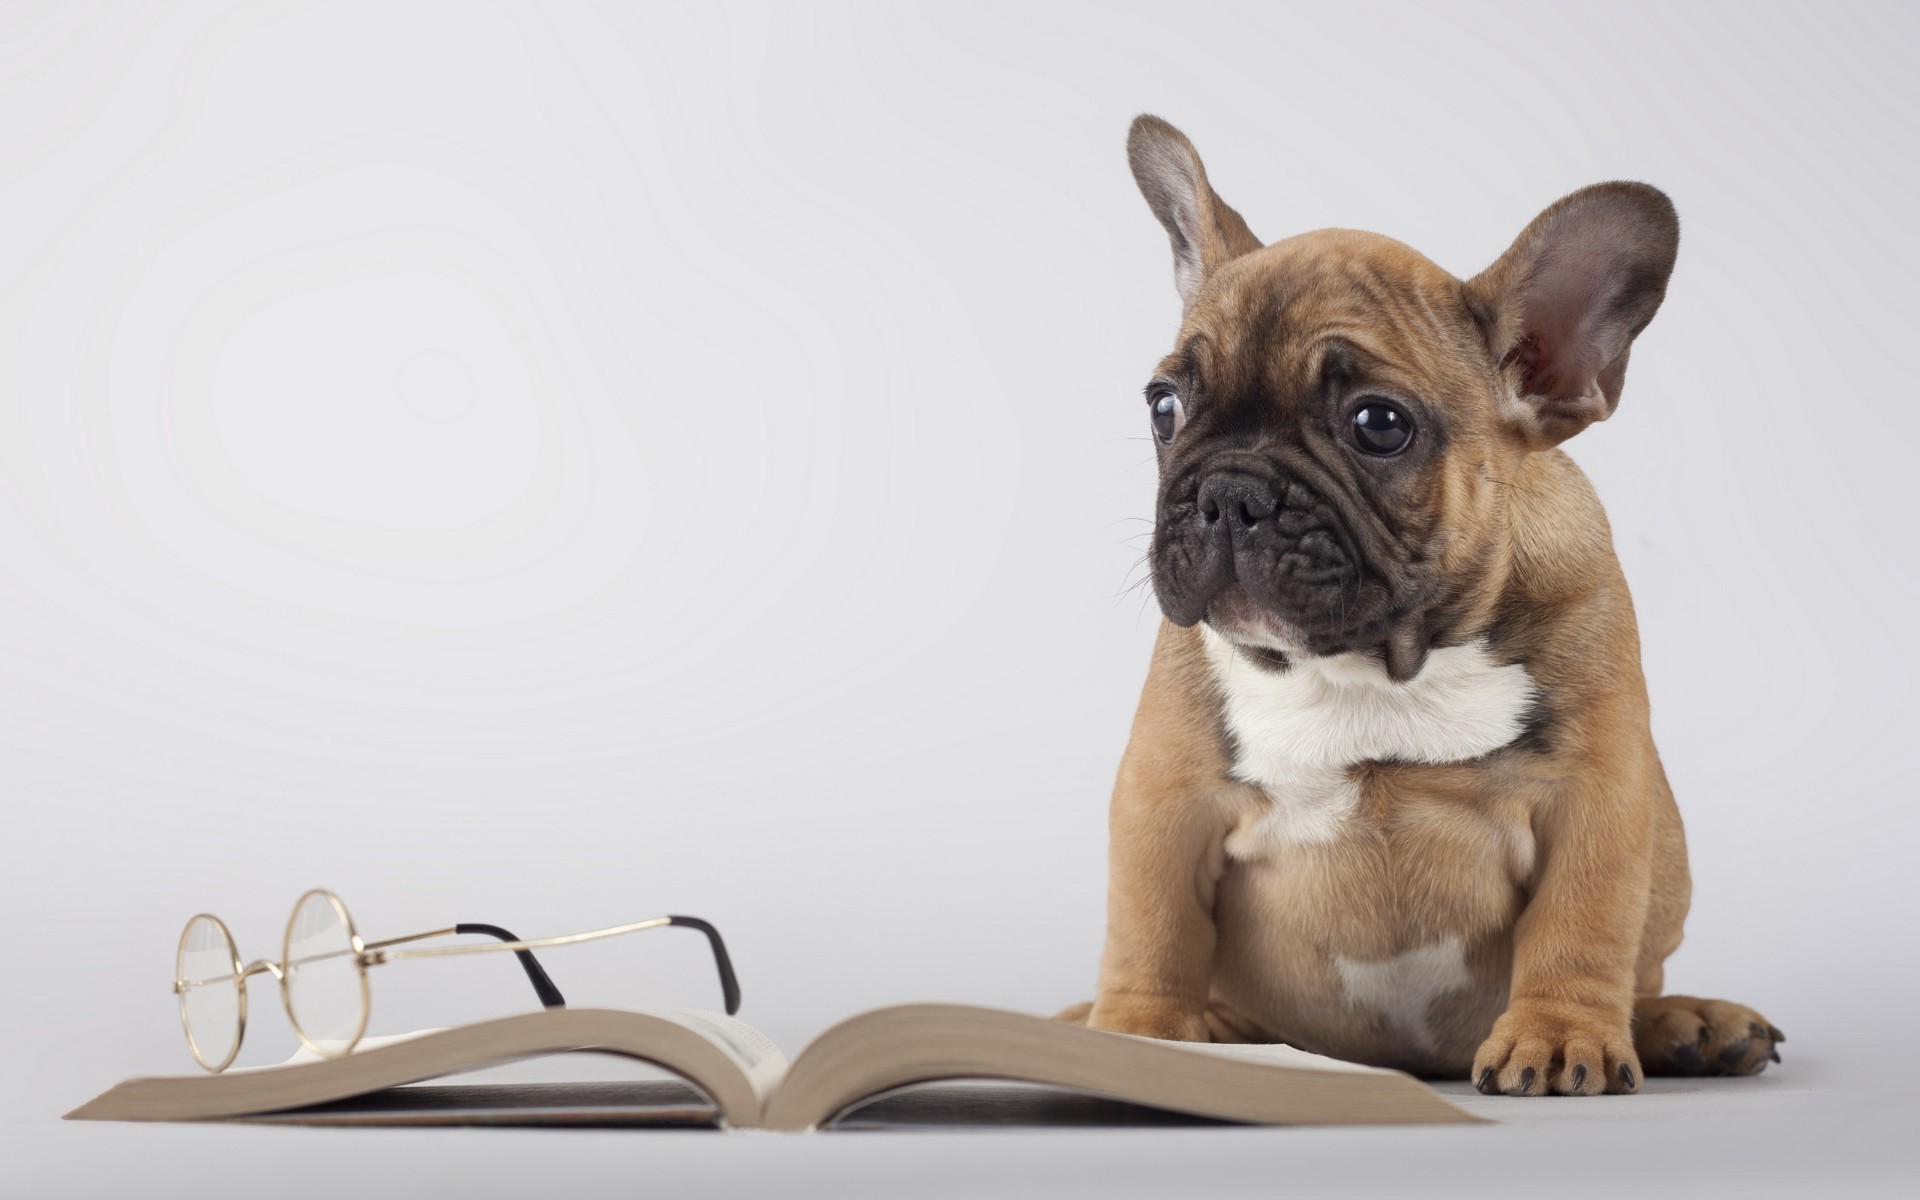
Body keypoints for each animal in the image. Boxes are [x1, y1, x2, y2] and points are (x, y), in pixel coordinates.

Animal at [1059, 114, 1774, 1098]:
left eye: (1379, 425)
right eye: (1165, 406)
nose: (1229, 493)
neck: (1375, 662)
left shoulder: (1597, 797)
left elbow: (1579, 927)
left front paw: (1561, 1035)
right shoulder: (1165, 799)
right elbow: (1152, 929)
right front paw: (1138, 1039)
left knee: (1637, 975)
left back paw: (1686, 1022)